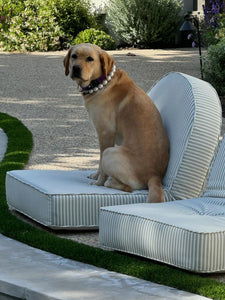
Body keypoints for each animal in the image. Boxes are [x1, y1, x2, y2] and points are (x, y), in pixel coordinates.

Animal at [63, 43, 169, 203]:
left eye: (90, 59)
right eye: (74, 56)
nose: (75, 68)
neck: (101, 84)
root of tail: (154, 176)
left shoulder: (105, 133)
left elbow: (101, 163)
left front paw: (98, 182)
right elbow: (99, 163)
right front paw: (95, 175)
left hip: (111, 152)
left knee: (128, 188)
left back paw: (108, 182)